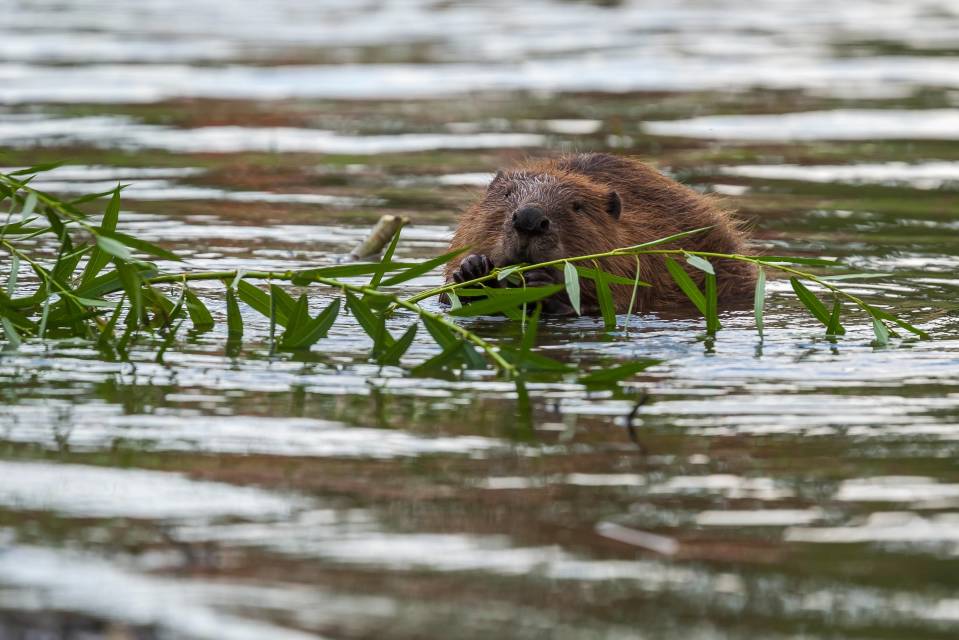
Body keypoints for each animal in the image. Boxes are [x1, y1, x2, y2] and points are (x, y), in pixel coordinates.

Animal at [442, 154, 756, 316]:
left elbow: (615, 298)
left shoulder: (643, 259)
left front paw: (543, 282)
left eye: (577, 206)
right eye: (506, 194)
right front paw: (472, 270)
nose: (529, 219)